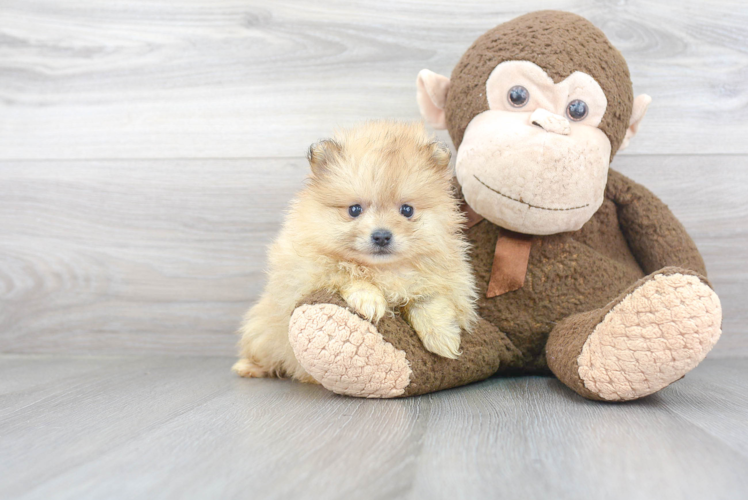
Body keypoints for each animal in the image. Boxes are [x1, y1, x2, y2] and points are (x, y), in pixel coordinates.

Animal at [234, 122, 480, 382]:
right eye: (354, 210)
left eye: (407, 210)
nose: (381, 236)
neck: (383, 270)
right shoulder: (304, 273)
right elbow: (344, 273)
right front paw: (369, 299)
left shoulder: (444, 280)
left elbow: (429, 299)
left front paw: (443, 337)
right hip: (261, 332)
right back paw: (249, 367)